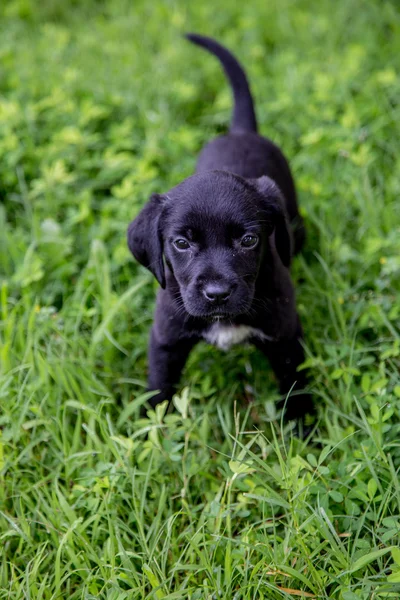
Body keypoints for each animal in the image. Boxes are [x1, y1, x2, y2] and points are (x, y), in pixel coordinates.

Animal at [128, 32, 312, 418]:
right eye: (181, 243)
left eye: (249, 240)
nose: (217, 294)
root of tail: (240, 131)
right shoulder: (165, 340)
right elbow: (159, 388)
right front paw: (151, 426)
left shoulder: (287, 337)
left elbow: (295, 385)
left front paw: (306, 426)